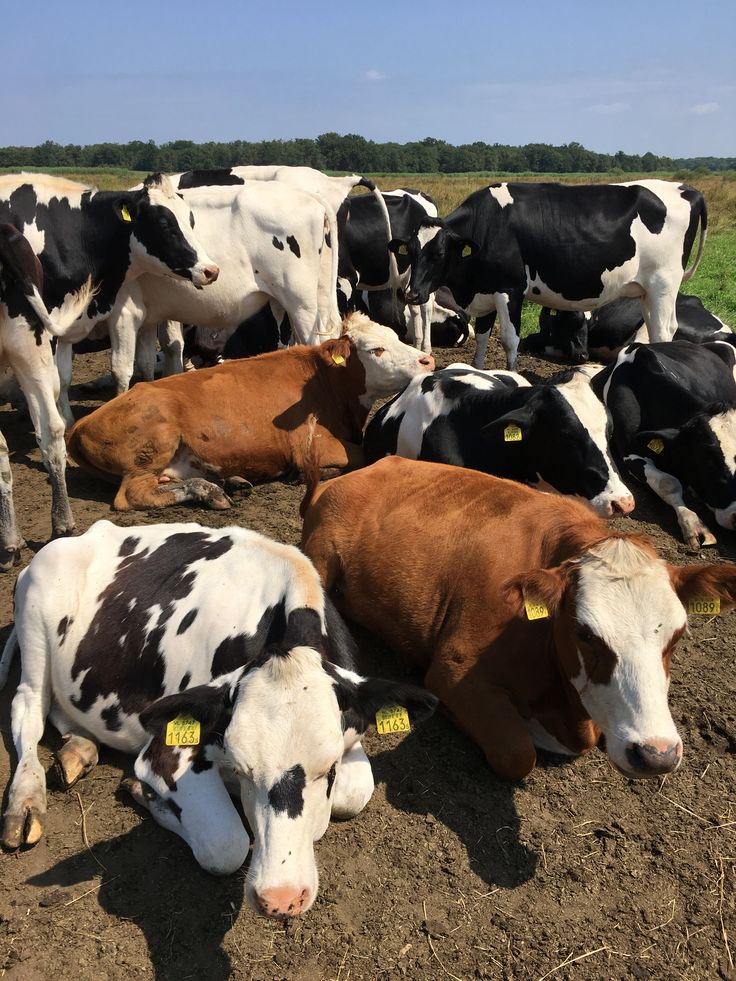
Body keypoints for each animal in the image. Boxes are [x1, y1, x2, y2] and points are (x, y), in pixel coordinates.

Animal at [0, 519, 436, 917]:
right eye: (242, 769)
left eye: (328, 768)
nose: (280, 898)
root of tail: (89, 532)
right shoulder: (167, 753)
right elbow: (226, 845)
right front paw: (147, 795)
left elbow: (353, 794)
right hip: (34, 622)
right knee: (27, 709)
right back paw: (25, 801)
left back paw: (79, 749)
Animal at [67, 312, 434, 511]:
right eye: (377, 350)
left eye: (396, 336)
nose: (427, 360)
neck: (325, 383)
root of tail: (83, 423)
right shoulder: (311, 445)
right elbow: (358, 457)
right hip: (152, 447)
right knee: (132, 494)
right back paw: (213, 491)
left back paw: (224, 484)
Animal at [301, 456, 736, 781]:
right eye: (585, 634)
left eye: (677, 636)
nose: (656, 753)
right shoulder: (453, 672)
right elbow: (517, 754)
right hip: (320, 557)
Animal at [389, 180, 707, 370]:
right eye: (411, 252)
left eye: (440, 253)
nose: (411, 294)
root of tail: (686, 189)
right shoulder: (487, 290)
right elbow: (481, 337)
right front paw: (477, 372)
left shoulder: (509, 289)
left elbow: (510, 339)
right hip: (646, 291)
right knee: (655, 329)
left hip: (663, 285)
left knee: (665, 330)